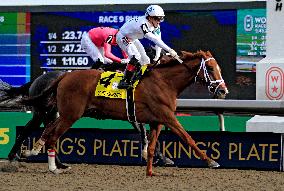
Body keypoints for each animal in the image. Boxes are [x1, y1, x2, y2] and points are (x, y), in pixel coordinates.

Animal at [23, 50, 229, 175]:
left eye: (219, 68)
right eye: (210, 68)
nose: (223, 91)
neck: (164, 82)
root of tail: (65, 76)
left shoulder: (157, 120)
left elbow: (152, 147)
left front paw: (150, 171)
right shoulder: (168, 117)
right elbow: (188, 138)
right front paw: (211, 161)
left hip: (66, 113)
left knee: (48, 129)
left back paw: (33, 151)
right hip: (70, 114)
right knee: (52, 135)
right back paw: (53, 168)